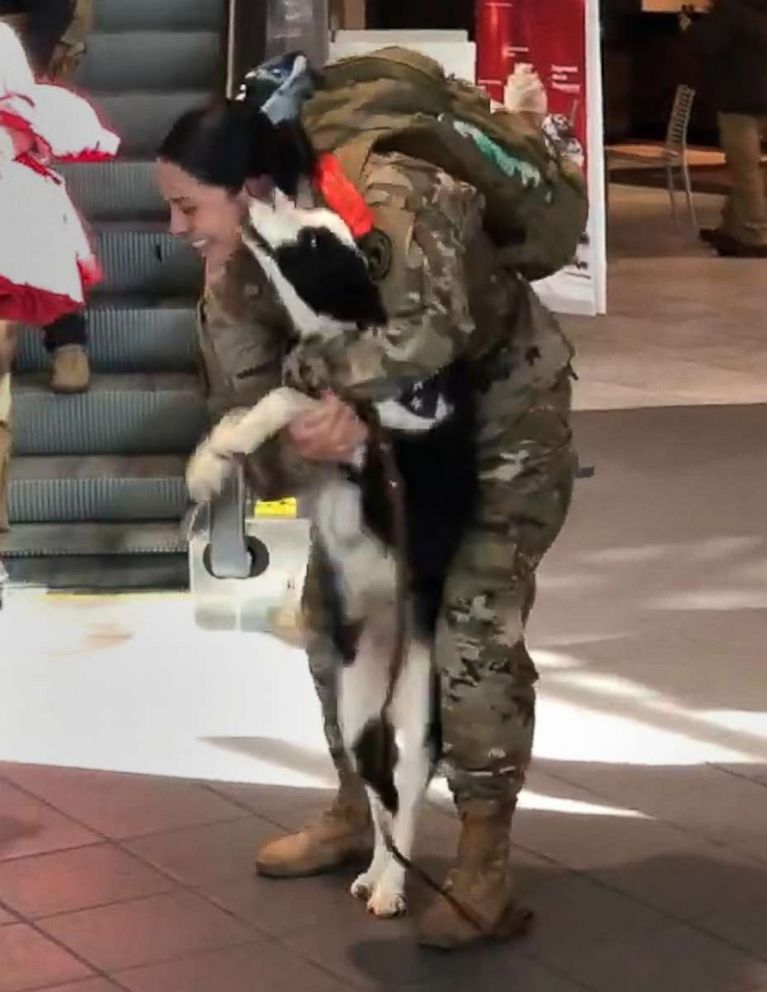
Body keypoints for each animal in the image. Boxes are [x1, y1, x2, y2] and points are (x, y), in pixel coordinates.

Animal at [186, 186, 476, 916]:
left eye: (316, 241)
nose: (264, 191)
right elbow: (259, 407)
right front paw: (211, 459)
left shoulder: (373, 443)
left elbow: (288, 398)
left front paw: (225, 448)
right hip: (354, 707)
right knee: (379, 797)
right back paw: (374, 874)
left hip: (417, 710)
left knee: (407, 798)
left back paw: (393, 889)